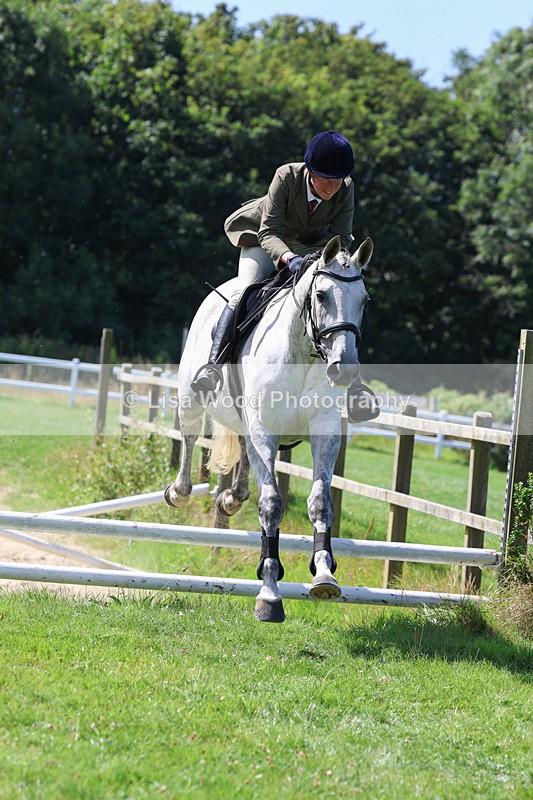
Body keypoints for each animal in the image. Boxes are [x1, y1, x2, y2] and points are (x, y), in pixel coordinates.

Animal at [165, 235, 374, 622]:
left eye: (364, 300)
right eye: (321, 295)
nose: (344, 370)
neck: (303, 353)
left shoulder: (323, 432)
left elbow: (320, 502)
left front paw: (324, 575)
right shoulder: (264, 429)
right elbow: (271, 505)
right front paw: (269, 592)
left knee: (245, 467)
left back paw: (231, 499)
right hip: (191, 398)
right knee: (189, 438)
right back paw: (179, 492)